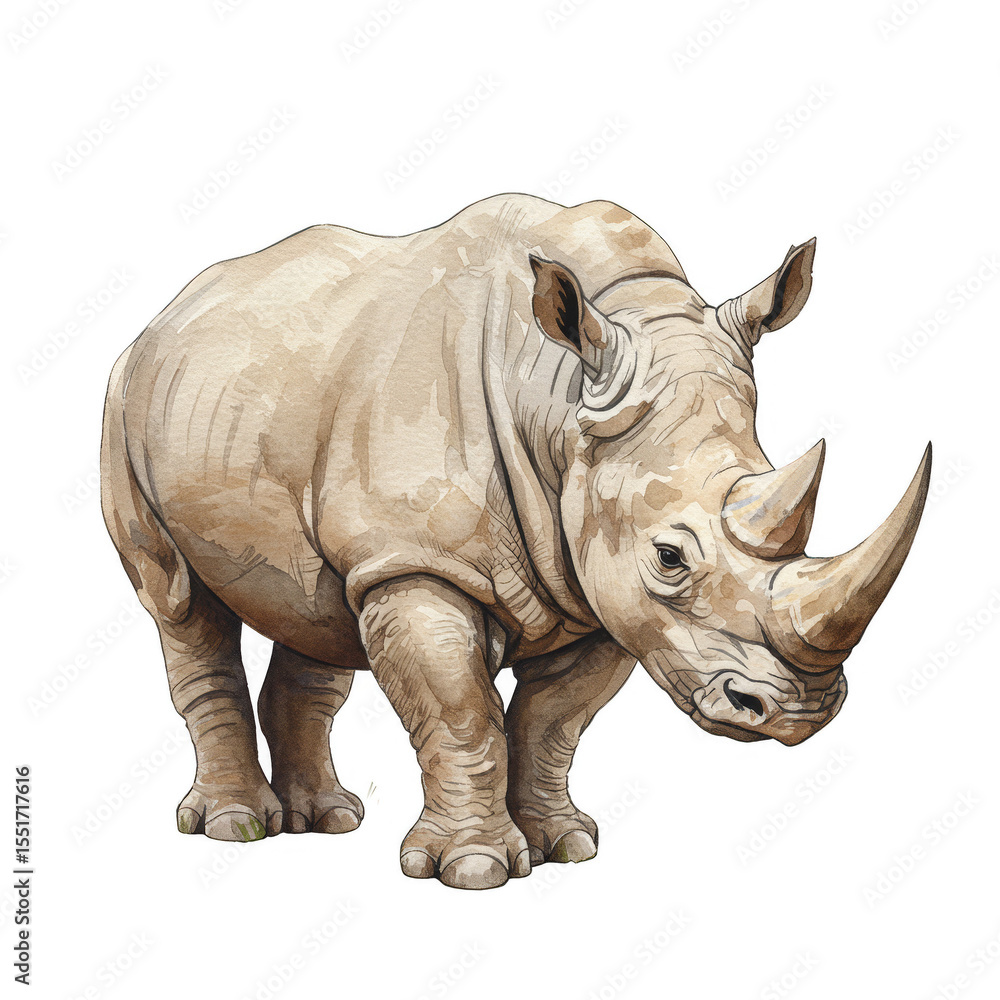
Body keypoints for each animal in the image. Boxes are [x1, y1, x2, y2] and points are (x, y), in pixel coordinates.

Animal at [101, 194, 930, 890]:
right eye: (669, 557)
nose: (801, 712)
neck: (560, 401)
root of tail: (164, 316)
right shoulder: (422, 563)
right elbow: (461, 711)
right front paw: (474, 871)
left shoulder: (596, 586)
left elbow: (553, 721)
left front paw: (565, 846)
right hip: (122, 403)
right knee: (179, 604)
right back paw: (235, 826)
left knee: (318, 609)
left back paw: (329, 820)